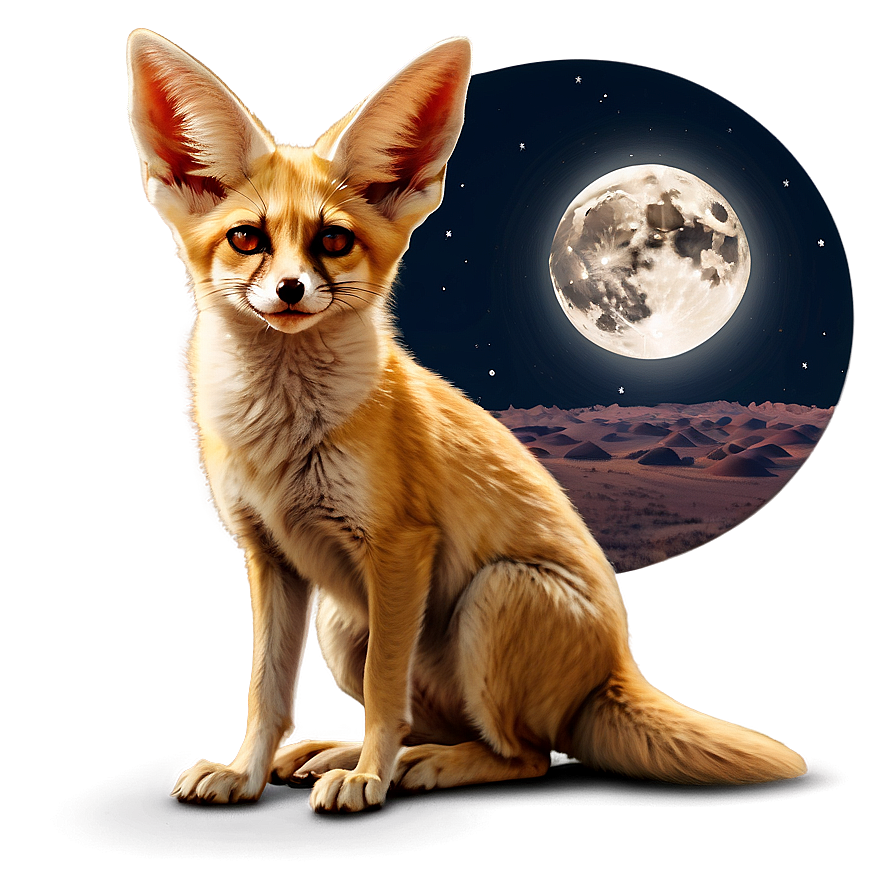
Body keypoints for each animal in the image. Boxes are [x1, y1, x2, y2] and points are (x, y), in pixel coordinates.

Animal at [127, 29, 807, 814]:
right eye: (246, 239)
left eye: (334, 242)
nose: (291, 289)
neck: (284, 436)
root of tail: (616, 668)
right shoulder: (271, 558)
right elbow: (266, 692)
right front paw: (247, 773)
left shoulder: (399, 547)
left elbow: (381, 695)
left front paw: (365, 783)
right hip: (345, 626)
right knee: (442, 726)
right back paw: (349, 753)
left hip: (493, 595)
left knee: (527, 756)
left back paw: (412, 768)